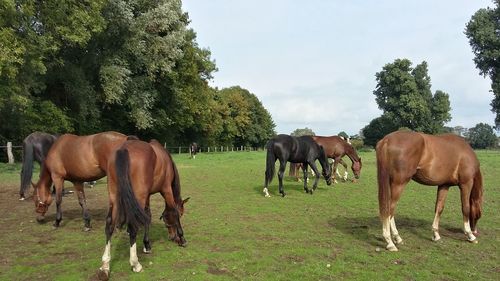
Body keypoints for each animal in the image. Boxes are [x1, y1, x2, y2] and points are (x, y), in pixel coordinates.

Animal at [98, 139, 189, 276]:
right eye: (182, 213)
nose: (172, 237)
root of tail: (124, 149)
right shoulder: (166, 190)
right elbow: (173, 211)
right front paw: (182, 239)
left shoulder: (148, 195)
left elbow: (147, 216)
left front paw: (147, 245)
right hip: (139, 195)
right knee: (132, 226)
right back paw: (135, 263)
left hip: (114, 196)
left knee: (109, 225)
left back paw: (105, 265)